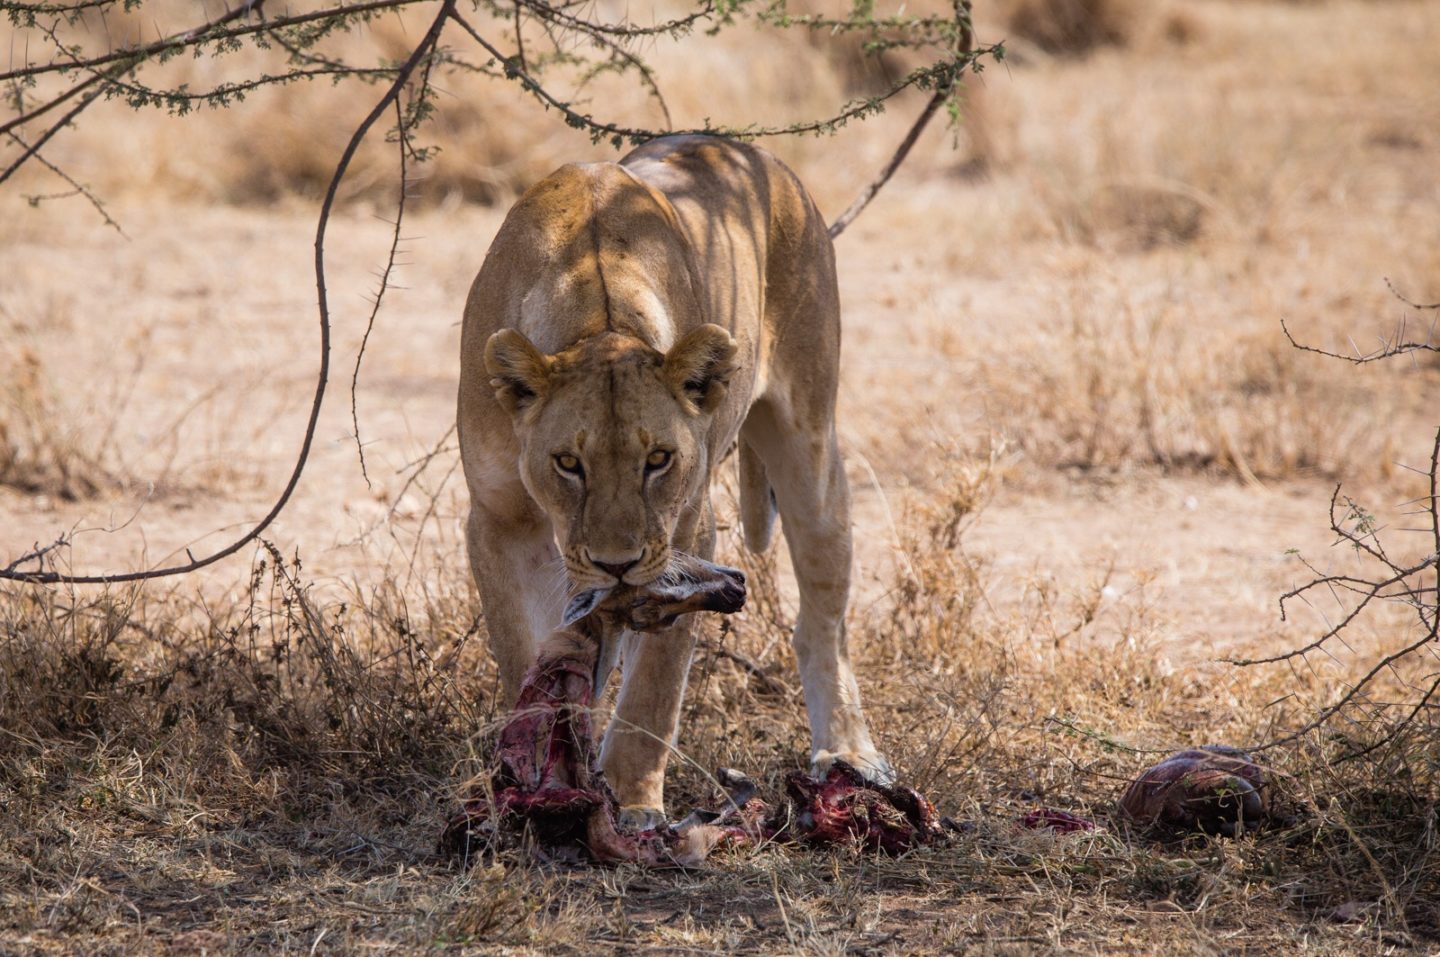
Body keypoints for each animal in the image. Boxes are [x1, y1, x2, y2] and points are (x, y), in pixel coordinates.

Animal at [457, 134, 890, 827]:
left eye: (657, 459)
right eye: (568, 463)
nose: (617, 565)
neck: (596, 312)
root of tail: (748, 151)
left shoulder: (688, 531)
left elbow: (651, 695)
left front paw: (631, 805)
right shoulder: (497, 519)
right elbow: (529, 656)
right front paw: (541, 776)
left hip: (810, 439)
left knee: (824, 616)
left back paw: (848, 755)